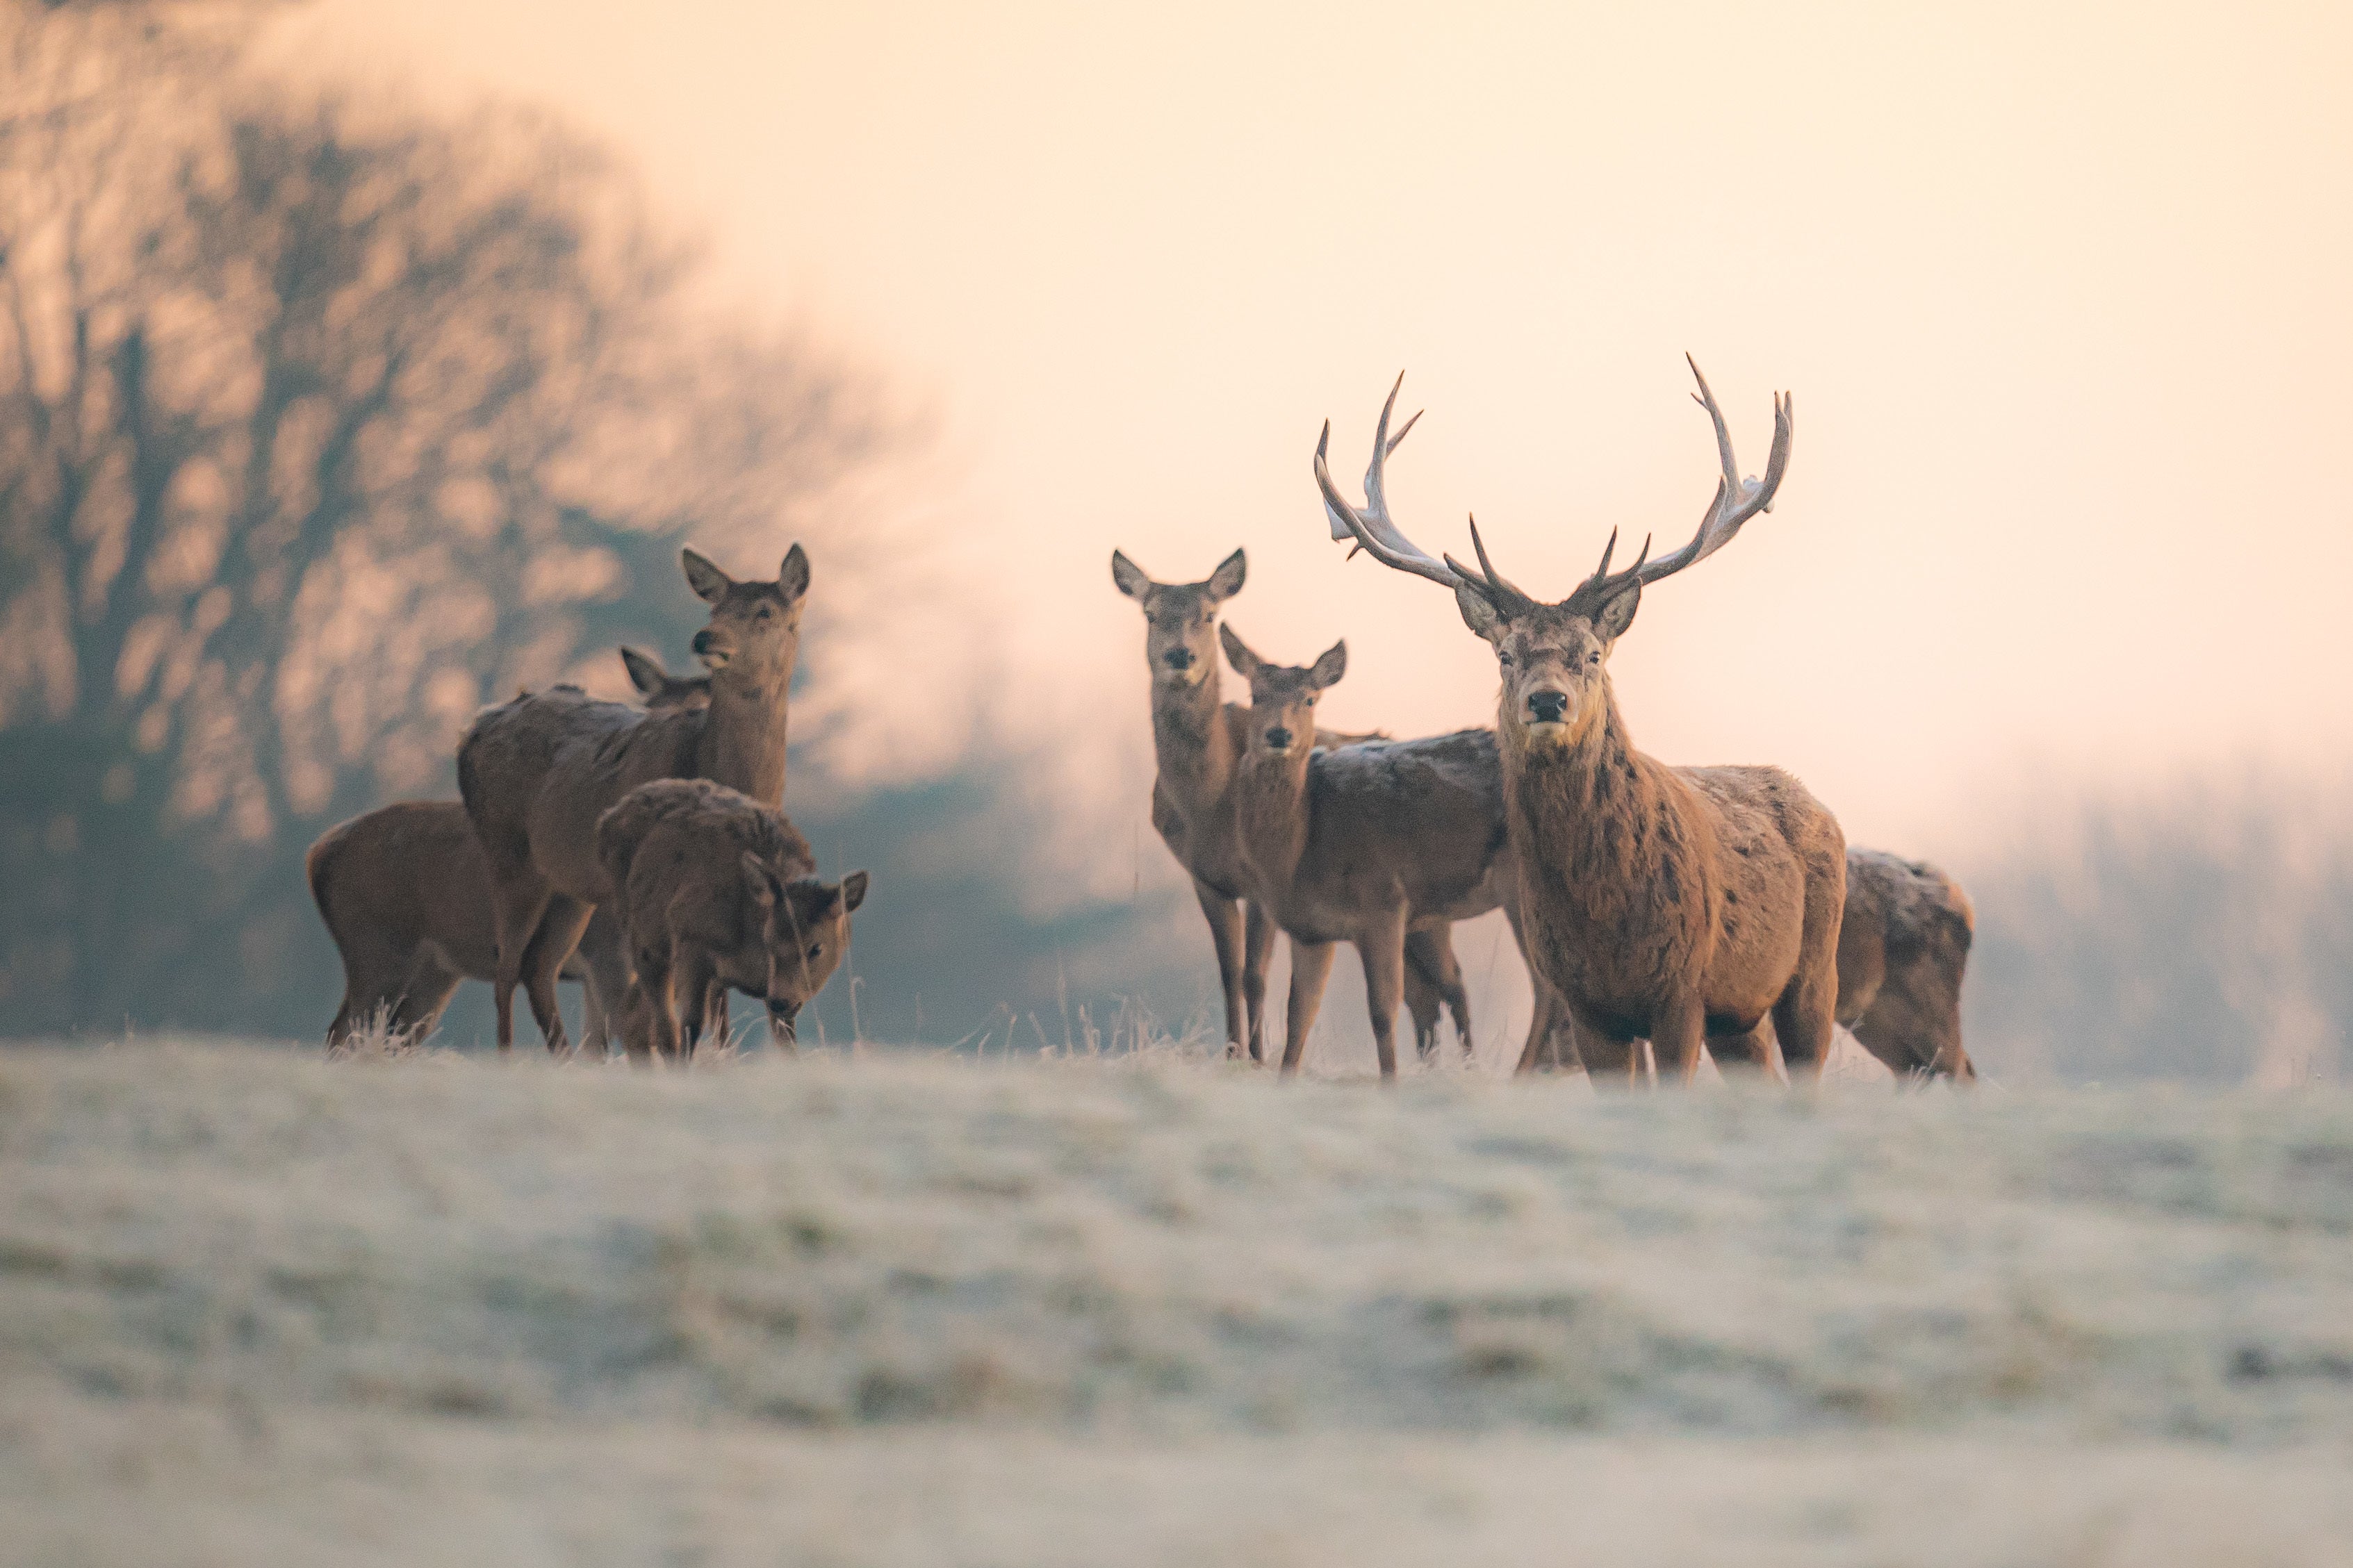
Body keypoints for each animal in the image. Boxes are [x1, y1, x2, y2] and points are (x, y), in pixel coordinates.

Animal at [308, 648, 705, 1053]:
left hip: (433, 971)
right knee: (342, 1031)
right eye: (651, 709)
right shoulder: (606, 950)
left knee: (396, 1034)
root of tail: (318, 854)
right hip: (376, 947)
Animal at [456, 550, 809, 1053]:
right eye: (713, 610)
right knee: (507, 970)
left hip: (570, 885)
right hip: (508, 854)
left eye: (765, 611)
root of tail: (471, 730)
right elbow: (653, 1014)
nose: (704, 638)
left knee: (539, 967)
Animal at [598, 780, 875, 1062]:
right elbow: (691, 1026)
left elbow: (787, 1042)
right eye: (769, 939)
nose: (779, 1001)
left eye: (816, 948)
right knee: (664, 1027)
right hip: (643, 939)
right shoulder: (690, 936)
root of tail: (607, 818)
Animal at [1106, 545, 1468, 1062]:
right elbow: (1228, 973)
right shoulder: (1205, 878)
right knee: (1424, 995)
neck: (1211, 807)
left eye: (1210, 614)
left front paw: (1257, 1058)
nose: (1181, 656)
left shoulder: (1263, 885)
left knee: (1451, 983)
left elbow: (1255, 975)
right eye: (1150, 614)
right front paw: (1234, 1055)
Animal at [1318, 362, 1844, 1086]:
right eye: (1505, 655)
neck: (1605, 916)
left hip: (1814, 973)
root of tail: (1818, 803)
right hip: (1740, 1016)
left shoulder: (1682, 989)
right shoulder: (1586, 1002)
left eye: (1592, 654)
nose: (1548, 702)